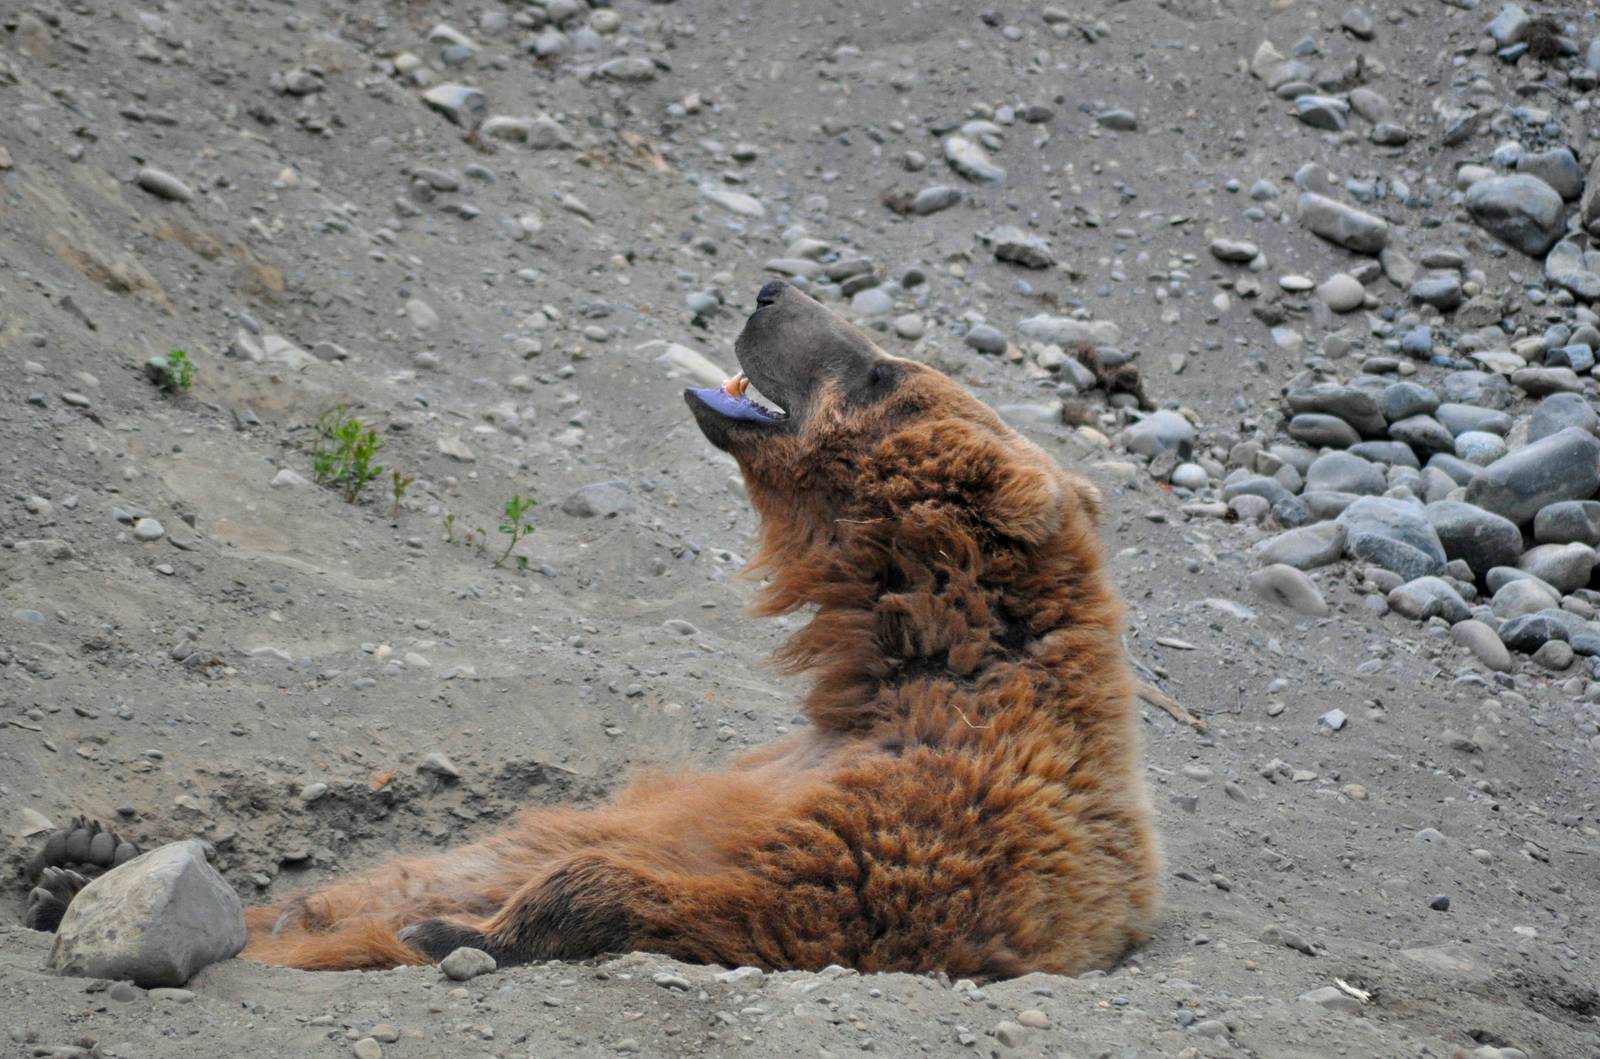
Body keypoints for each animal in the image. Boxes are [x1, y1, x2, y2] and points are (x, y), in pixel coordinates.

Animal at [24, 281, 1160, 978]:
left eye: (884, 370)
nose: (771, 291)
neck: (903, 664)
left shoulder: (932, 837)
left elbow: (696, 885)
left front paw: (453, 929)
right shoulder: (779, 763)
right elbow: (491, 845)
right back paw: (76, 864)